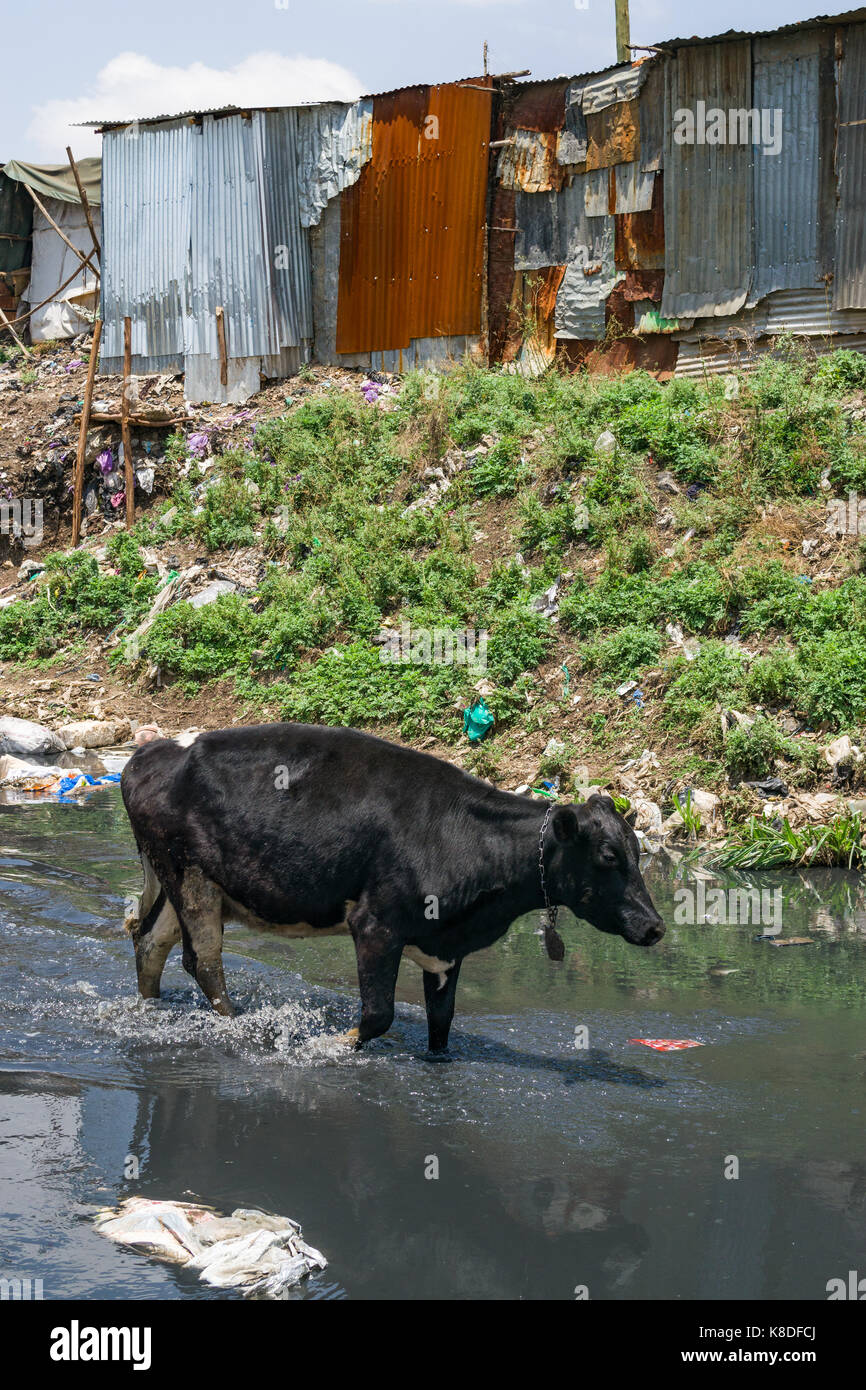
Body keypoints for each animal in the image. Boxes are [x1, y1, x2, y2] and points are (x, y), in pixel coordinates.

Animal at [122, 728, 664, 1050]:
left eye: (638, 852)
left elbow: (442, 1025)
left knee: (150, 940)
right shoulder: (375, 924)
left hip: (183, 879)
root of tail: (152, 753)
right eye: (608, 857)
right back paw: (238, 1024)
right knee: (203, 961)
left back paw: (150, 1009)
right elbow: (379, 1014)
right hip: (190, 877)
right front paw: (332, 1045)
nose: (656, 927)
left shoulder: (444, 947)